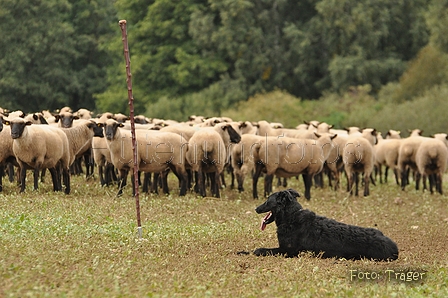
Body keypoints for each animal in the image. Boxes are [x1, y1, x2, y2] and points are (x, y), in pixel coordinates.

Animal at [256, 189, 400, 260]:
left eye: (267, 200)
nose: (256, 208)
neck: (291, 216)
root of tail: (394, 247)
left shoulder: (287, 251)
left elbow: (263, 250)